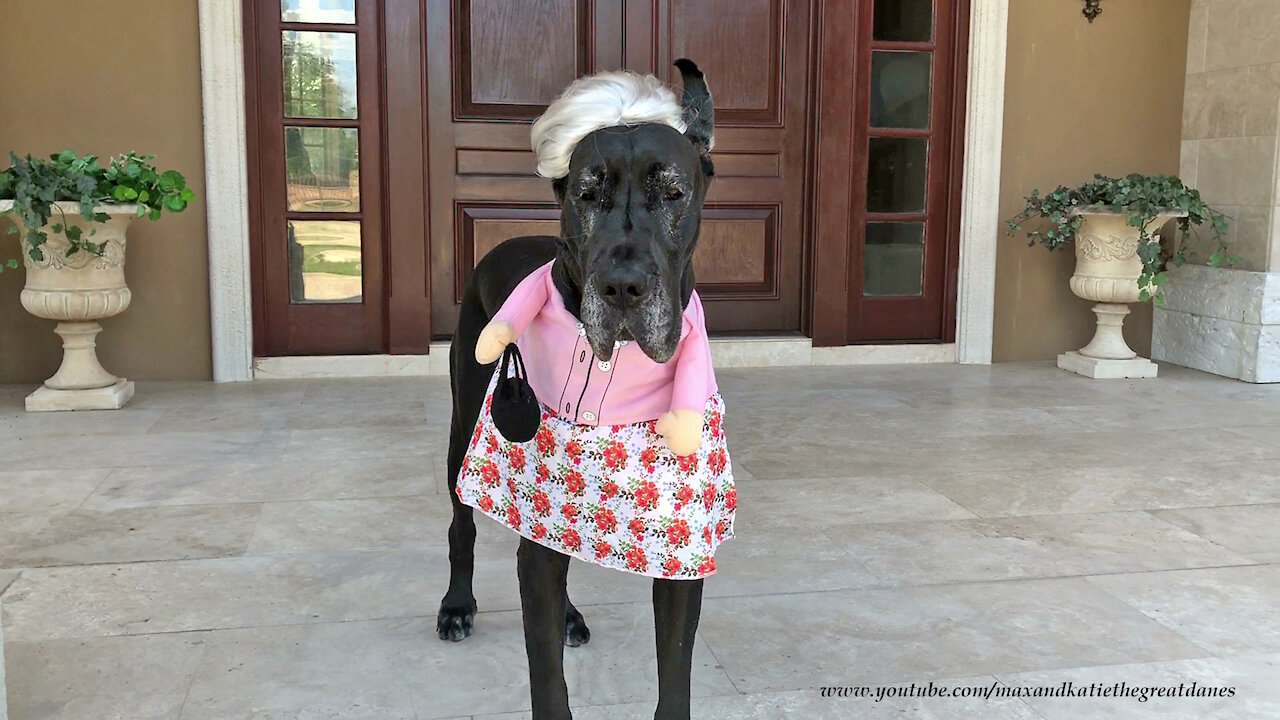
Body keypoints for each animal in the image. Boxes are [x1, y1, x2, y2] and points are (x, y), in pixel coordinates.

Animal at [437, 61, 721, 717]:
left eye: (674, 193)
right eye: (586, 195)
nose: (622, 287)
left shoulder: (682, 554)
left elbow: (675, 672)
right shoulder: (536, 561)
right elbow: (546, 675)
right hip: (463, 423)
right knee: (462, 525)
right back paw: (457, 605)